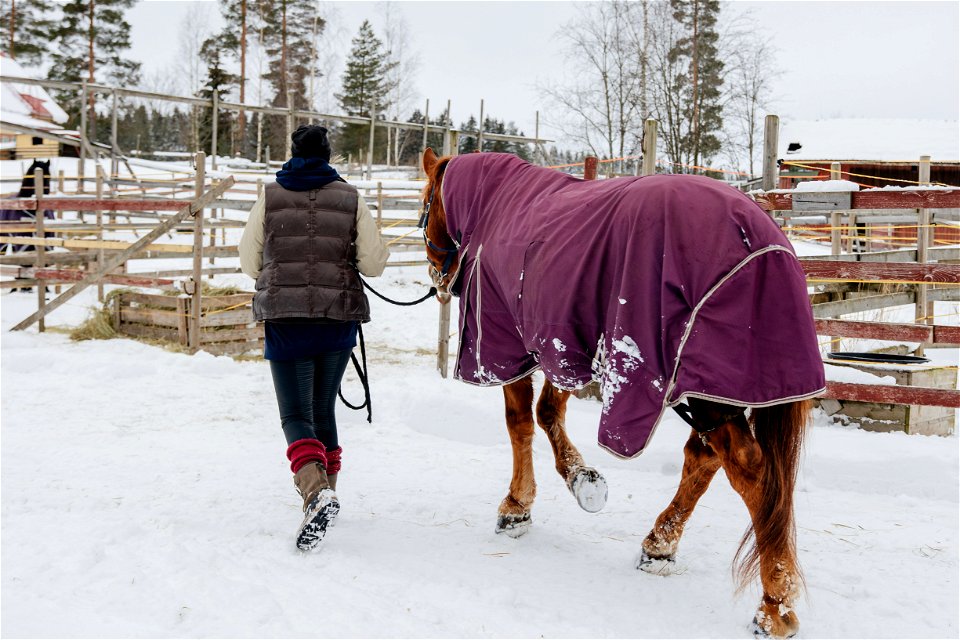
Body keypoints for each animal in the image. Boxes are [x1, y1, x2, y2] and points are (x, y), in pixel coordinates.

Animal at [418, 148, 824, 636]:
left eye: (424, 206)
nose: (437, 278)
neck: (498, 208)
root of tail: (765, 240)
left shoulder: (505, 339)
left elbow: (520, 424)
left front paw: (517, 505)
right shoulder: (565, 341)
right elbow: (548, 411)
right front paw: (582, 480)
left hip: (706, 394)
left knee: (750, 472)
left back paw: (774, 604)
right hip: (715, 390)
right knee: (704, 458)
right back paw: (660, 545)